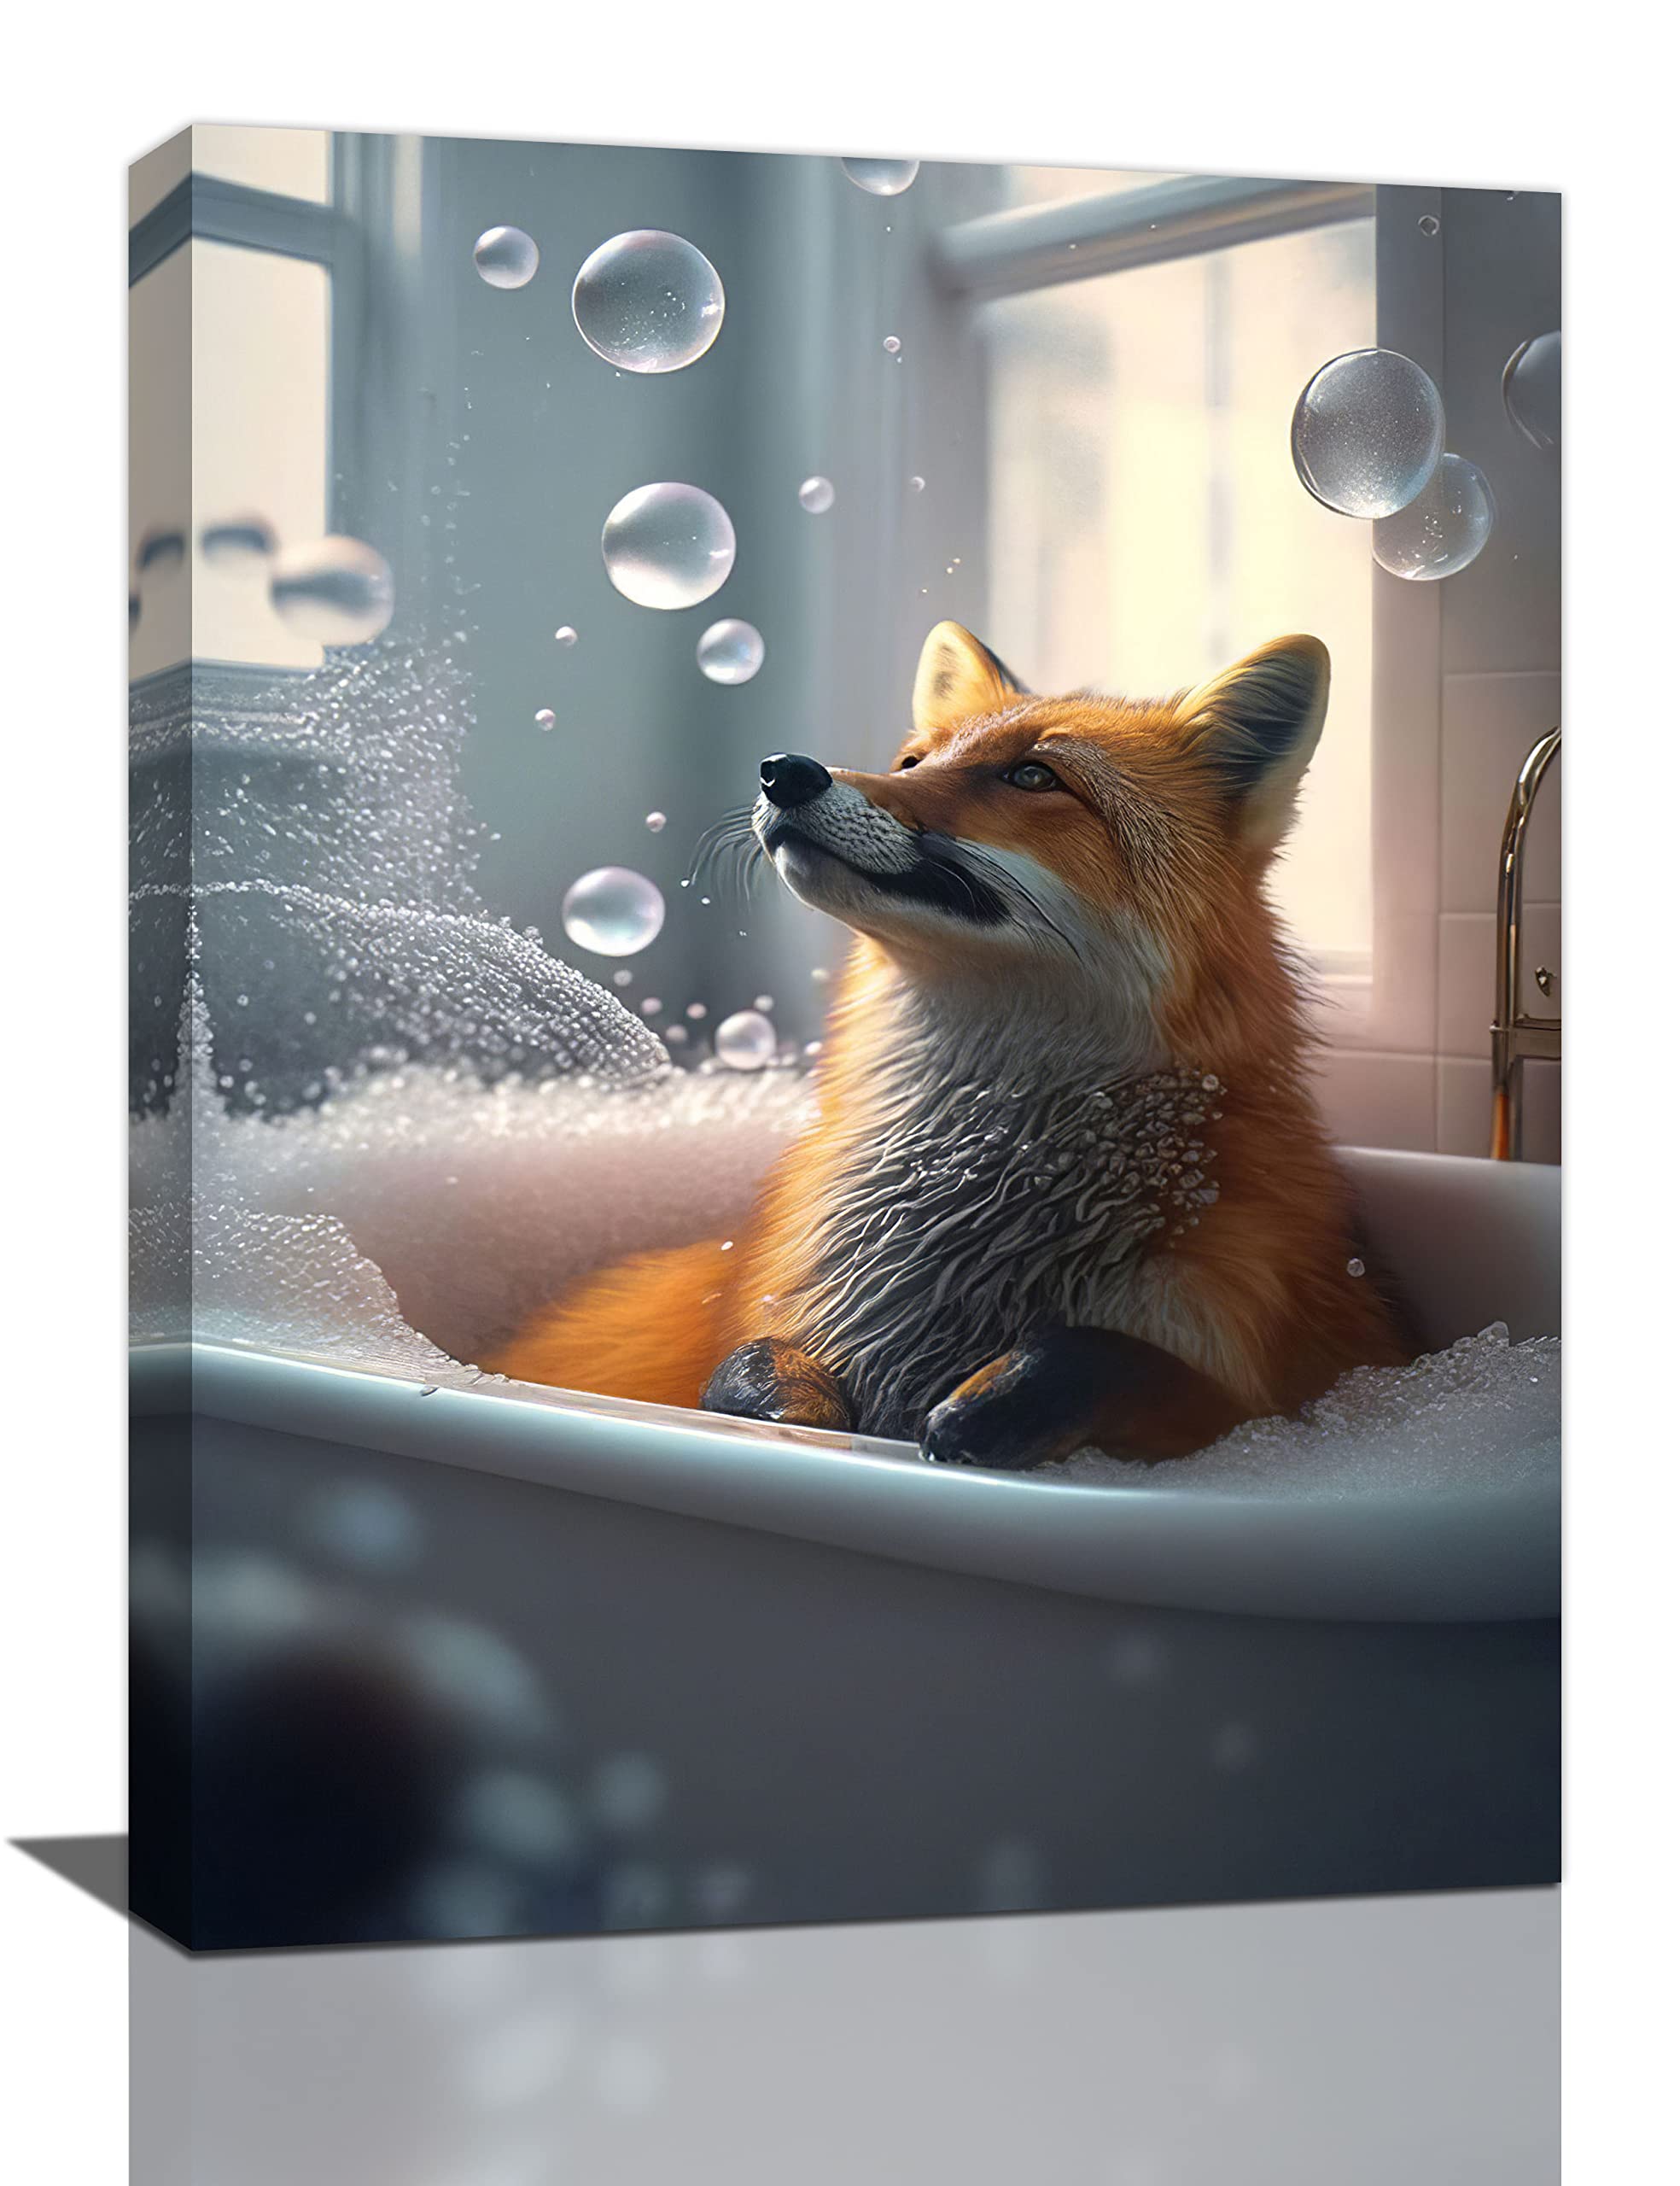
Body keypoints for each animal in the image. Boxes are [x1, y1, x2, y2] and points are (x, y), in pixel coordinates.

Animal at [488, 621, 1409, 1467]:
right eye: (909, 763)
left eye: (1033, 775)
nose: (784, 770)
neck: (968, 1227)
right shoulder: (788, 1307)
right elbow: (752, 1357)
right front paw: (784, 1408)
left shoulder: (1257, 1386)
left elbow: (1126, 1361)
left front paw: (1005, 1399)